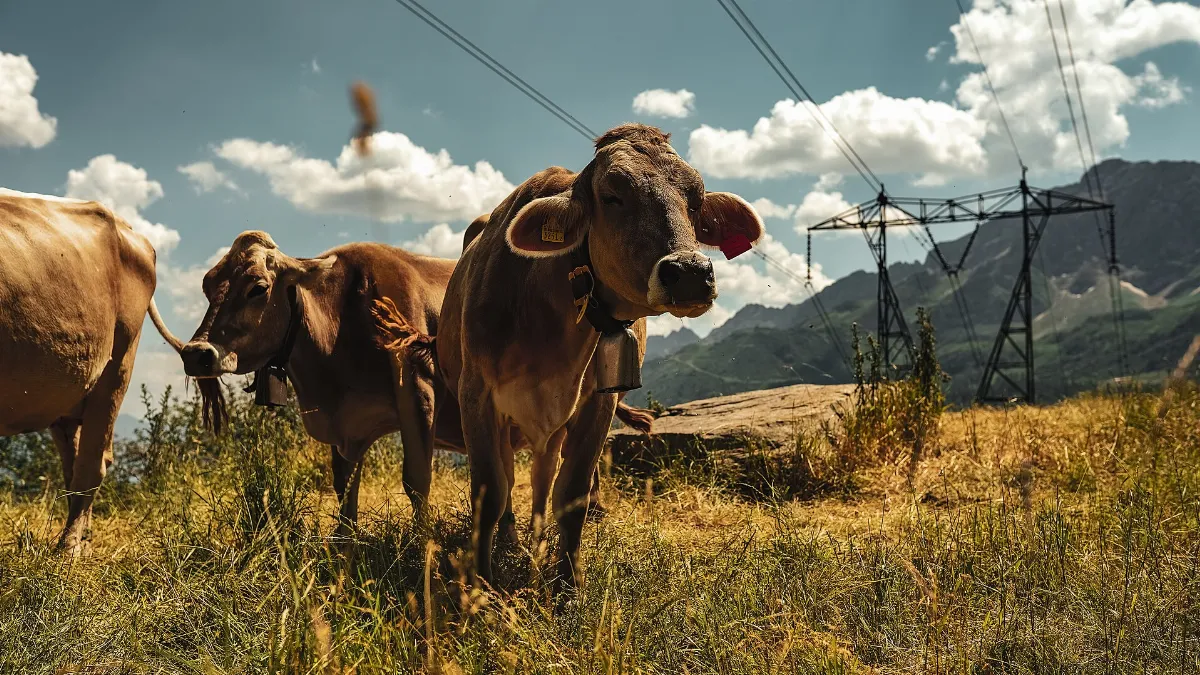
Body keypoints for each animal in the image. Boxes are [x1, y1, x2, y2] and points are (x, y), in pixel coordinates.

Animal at [0, 189, 216, 553]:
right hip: (70, 386)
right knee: (76, 463)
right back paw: (81, 537)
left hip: (119, 361)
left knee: (92, 464)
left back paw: (68, 548)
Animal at [417, 123, 764, 594]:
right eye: (612, 195)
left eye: (695, 200)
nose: (691, 273)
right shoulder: (478, 394)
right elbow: (490, 490)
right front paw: (482, 586)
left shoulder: (600, 401)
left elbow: (573, 492)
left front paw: (566, 584)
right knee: (510, 478)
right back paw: (511, 539)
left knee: (543, 478)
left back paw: (536, 540)